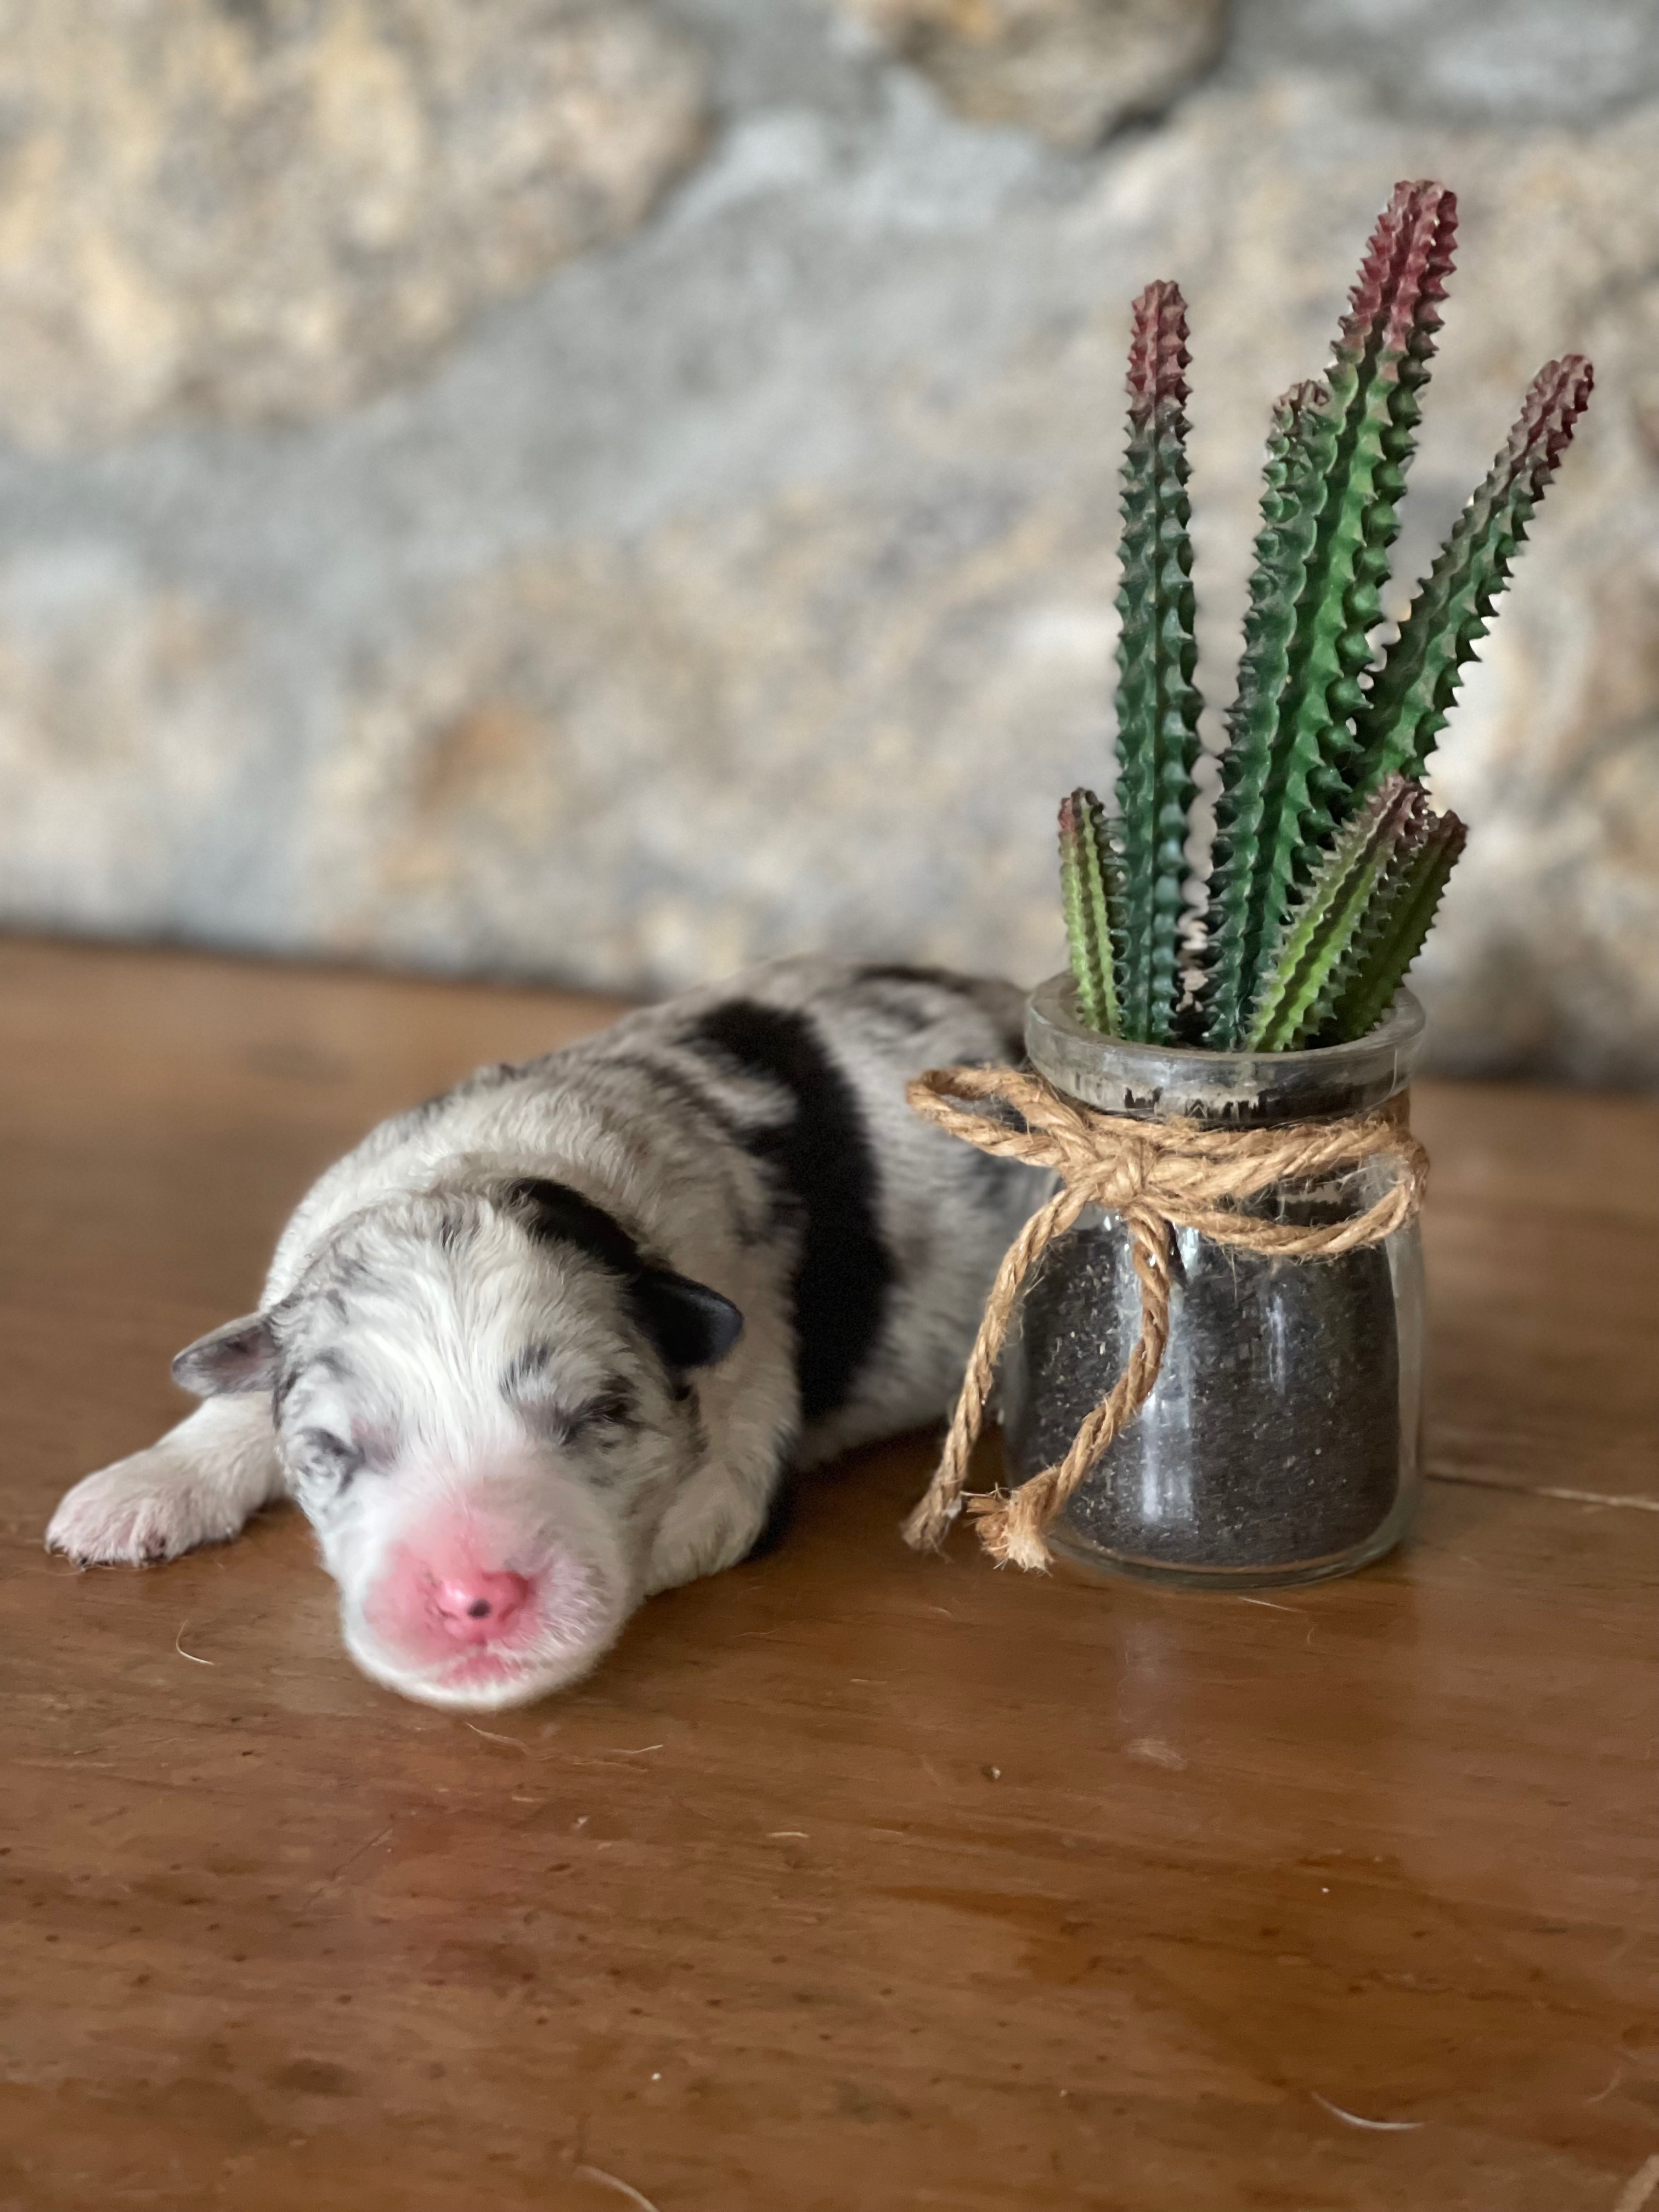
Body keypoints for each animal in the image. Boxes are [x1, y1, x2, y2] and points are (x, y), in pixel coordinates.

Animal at [48, 964, 1040, 1707]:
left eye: (595, 1419)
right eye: (334, 1451)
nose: (474, 1598)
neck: (497, 1162)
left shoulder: (745, 1446)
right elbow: (241, 1393)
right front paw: (138, 1489)